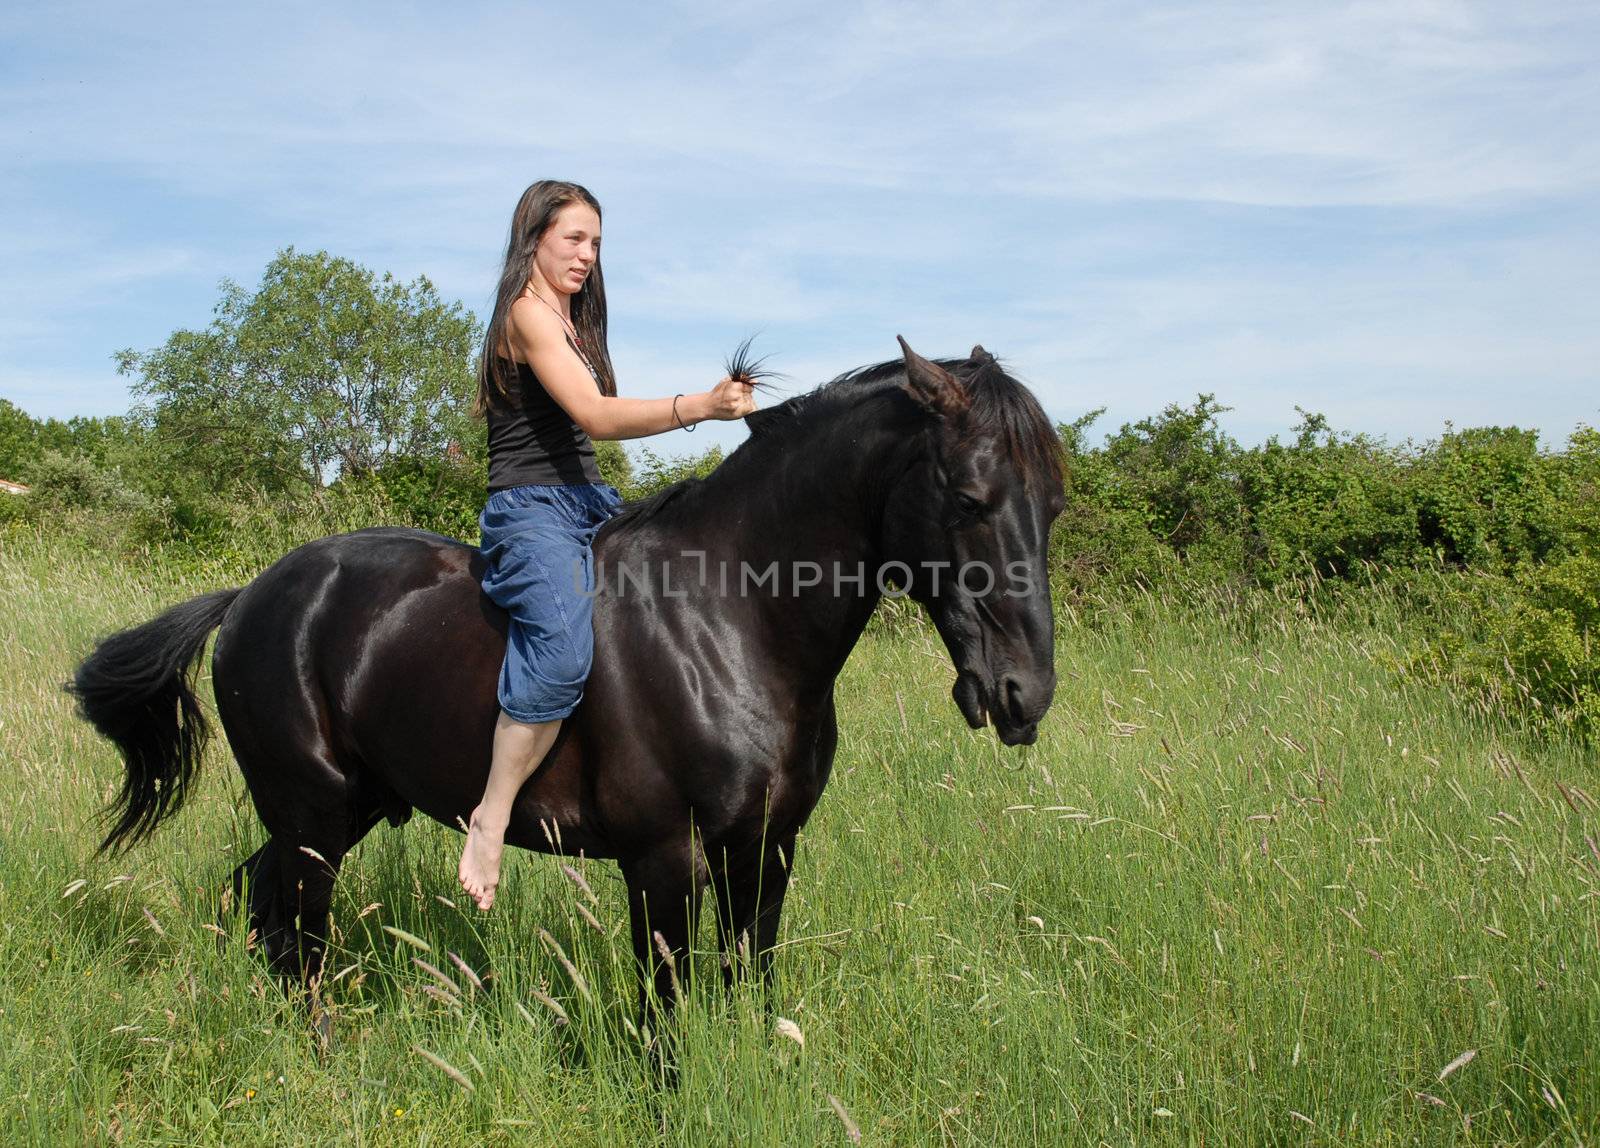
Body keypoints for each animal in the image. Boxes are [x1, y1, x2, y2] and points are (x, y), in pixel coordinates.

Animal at [78, 342, 1075, 1023]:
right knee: (299, 934)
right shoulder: (663, 860)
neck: (731, 620)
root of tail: (250, 597)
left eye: (1053, 503)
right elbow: (665, 1013)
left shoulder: (766, 849)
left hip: (340, 809)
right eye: (970, 499)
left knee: (262, 905)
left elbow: (749, 989)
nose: (1024, 696)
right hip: (313, 816)